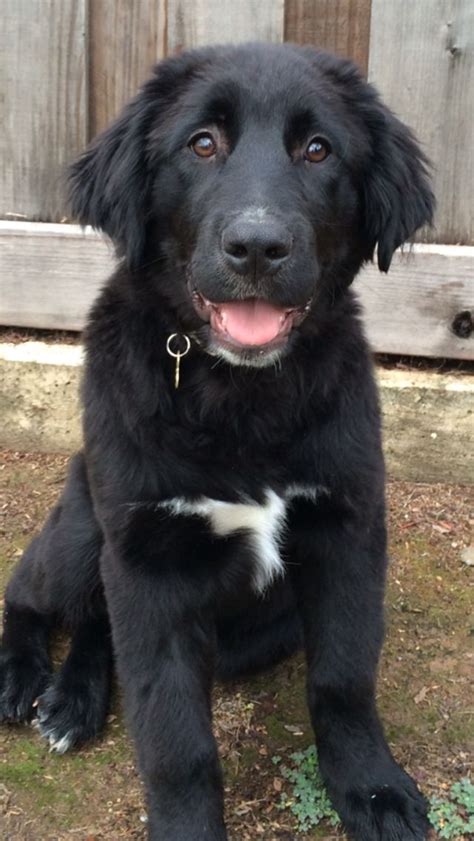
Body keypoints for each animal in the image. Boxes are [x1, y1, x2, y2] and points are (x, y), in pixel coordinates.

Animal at [0, 42, 434, 836]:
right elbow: (174, 740)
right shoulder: (148, 561)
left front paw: (372, 788)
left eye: (318, 149)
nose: (257, 247)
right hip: (83, 525)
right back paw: (26, 677)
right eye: (202, 144)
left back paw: (74, 697)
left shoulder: (347, 531)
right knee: (31, 591)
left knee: (99, 629)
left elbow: (343, 679)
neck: (242, 397)